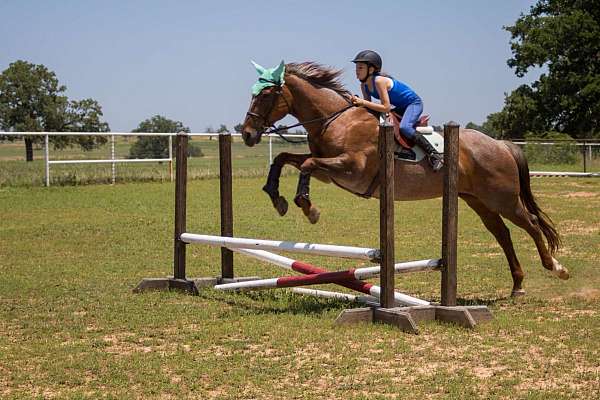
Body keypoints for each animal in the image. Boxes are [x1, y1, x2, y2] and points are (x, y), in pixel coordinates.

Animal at [239, 61, 568, 296]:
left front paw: (308, 208)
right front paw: (277, 197)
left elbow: (305, 164)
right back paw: (518, 284)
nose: (247, 134)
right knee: (502, 234)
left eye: (265, 94)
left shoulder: (351, 168)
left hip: (503, 198)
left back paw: (555, 267)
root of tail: (501, 144)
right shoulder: (328, 172)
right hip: (477, 200)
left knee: (531, 224)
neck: (335, 119)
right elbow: (285, 159)